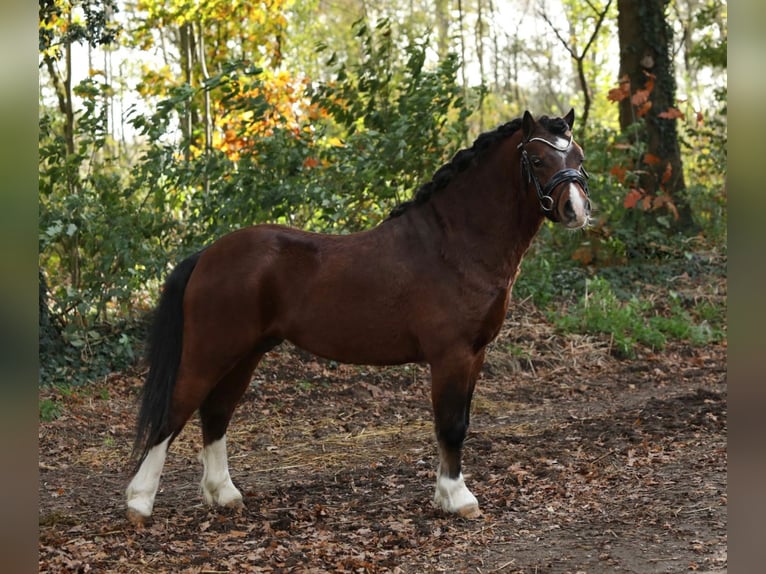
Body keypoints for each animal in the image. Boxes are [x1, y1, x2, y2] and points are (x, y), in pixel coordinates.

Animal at [127, 108, 592, 528]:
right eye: (537, 160)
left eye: (579, 156)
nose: (575, 209)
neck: (454, 246)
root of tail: (208, 254)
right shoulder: (452, 355)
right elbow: (451, 425)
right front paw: (458, 498)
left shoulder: (475, 354)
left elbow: (458, 422)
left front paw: (445, 494)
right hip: (211, 351)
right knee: (175, 412)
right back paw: (139, 502)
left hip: (246, 354)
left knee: (216, 413)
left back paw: (223, 494)